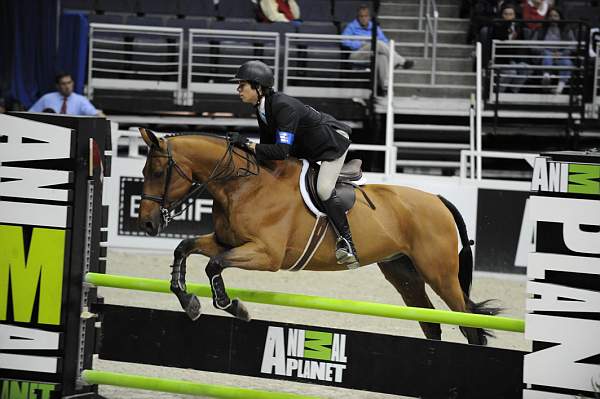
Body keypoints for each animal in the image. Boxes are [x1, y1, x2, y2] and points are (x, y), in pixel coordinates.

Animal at [138, 129, 500, 346]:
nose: (147, 224)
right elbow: (184, 248)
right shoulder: (227, 241)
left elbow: (214, 265)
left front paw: (234, 307)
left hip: (439, 274)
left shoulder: (266, 255)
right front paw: (188, 299)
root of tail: (437, 200)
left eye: (157, 172)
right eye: (143, 172)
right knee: (432, 323)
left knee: (467, 322)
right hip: (403, 273)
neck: (242, 184)